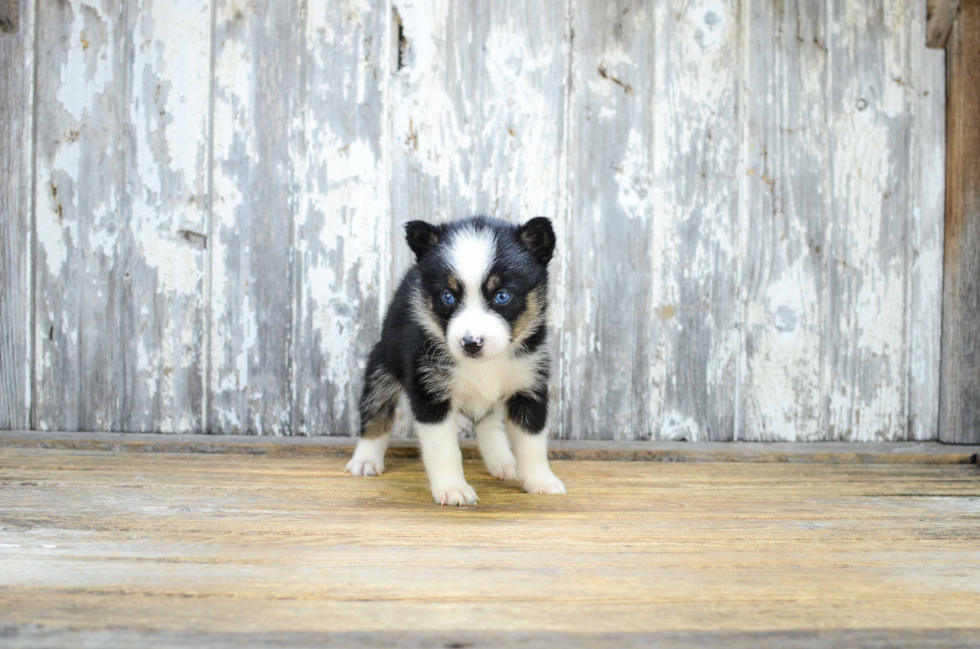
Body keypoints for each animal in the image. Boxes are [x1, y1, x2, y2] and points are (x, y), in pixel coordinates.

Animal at [348, 215, 572, 504]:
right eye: (448, 296)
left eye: (502, 296)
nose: (471, 343)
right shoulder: (429, 393)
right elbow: (442, 449)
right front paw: (452, 488)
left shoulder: (529, 385)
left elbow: (532, 441)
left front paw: (541, 481)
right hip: (383, 363)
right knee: (376, 411)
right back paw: (365, 459)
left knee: (490, 424)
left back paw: (503, 462)